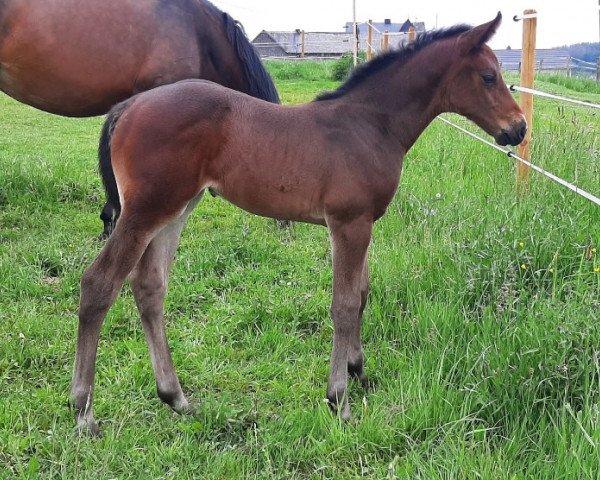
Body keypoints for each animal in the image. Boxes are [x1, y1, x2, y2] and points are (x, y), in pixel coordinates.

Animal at [72, 13, 528, 434]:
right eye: (489, 76)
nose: (519, 129)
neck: (369, 124)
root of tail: (129, 106)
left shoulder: (363, 222)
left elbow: (362, 294)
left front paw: (359, 371)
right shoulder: (348, 222)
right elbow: (344, 305)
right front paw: (339, 399)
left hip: (176, 209)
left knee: (149, 287)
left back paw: (176, 398)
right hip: (145, 210)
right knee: (99, 284)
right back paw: (84, 412)